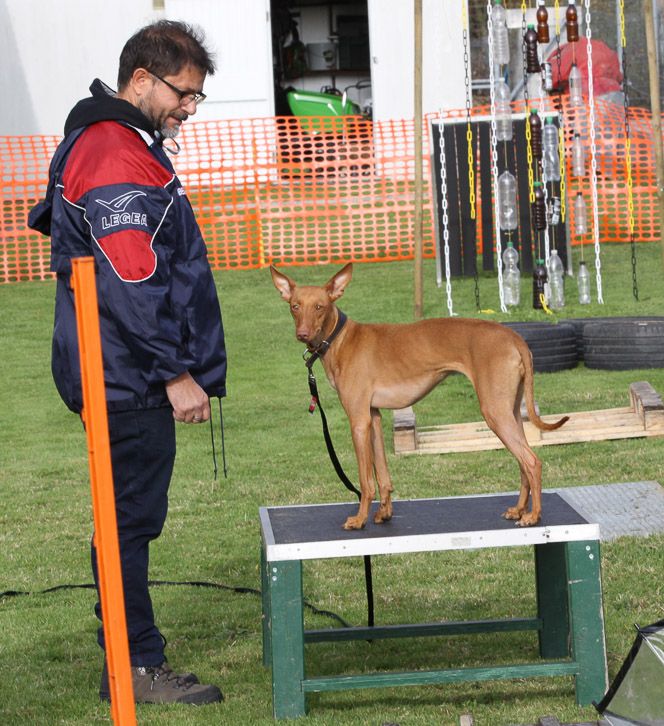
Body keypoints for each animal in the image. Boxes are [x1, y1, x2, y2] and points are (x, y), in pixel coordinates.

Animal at [271, 263, 568, 530]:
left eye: (319, 306)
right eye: (295, 306)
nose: (302, 334)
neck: (340, 339)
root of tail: (514, 336)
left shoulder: (358, 421)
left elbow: (366, 480)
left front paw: (359, 519)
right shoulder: (373, 417)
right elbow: (383, 474)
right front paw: (384, 513)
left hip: (495, 412)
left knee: (532, 461)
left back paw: (533, 516)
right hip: (512, 412)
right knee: (523, 462)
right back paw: (519, 510)